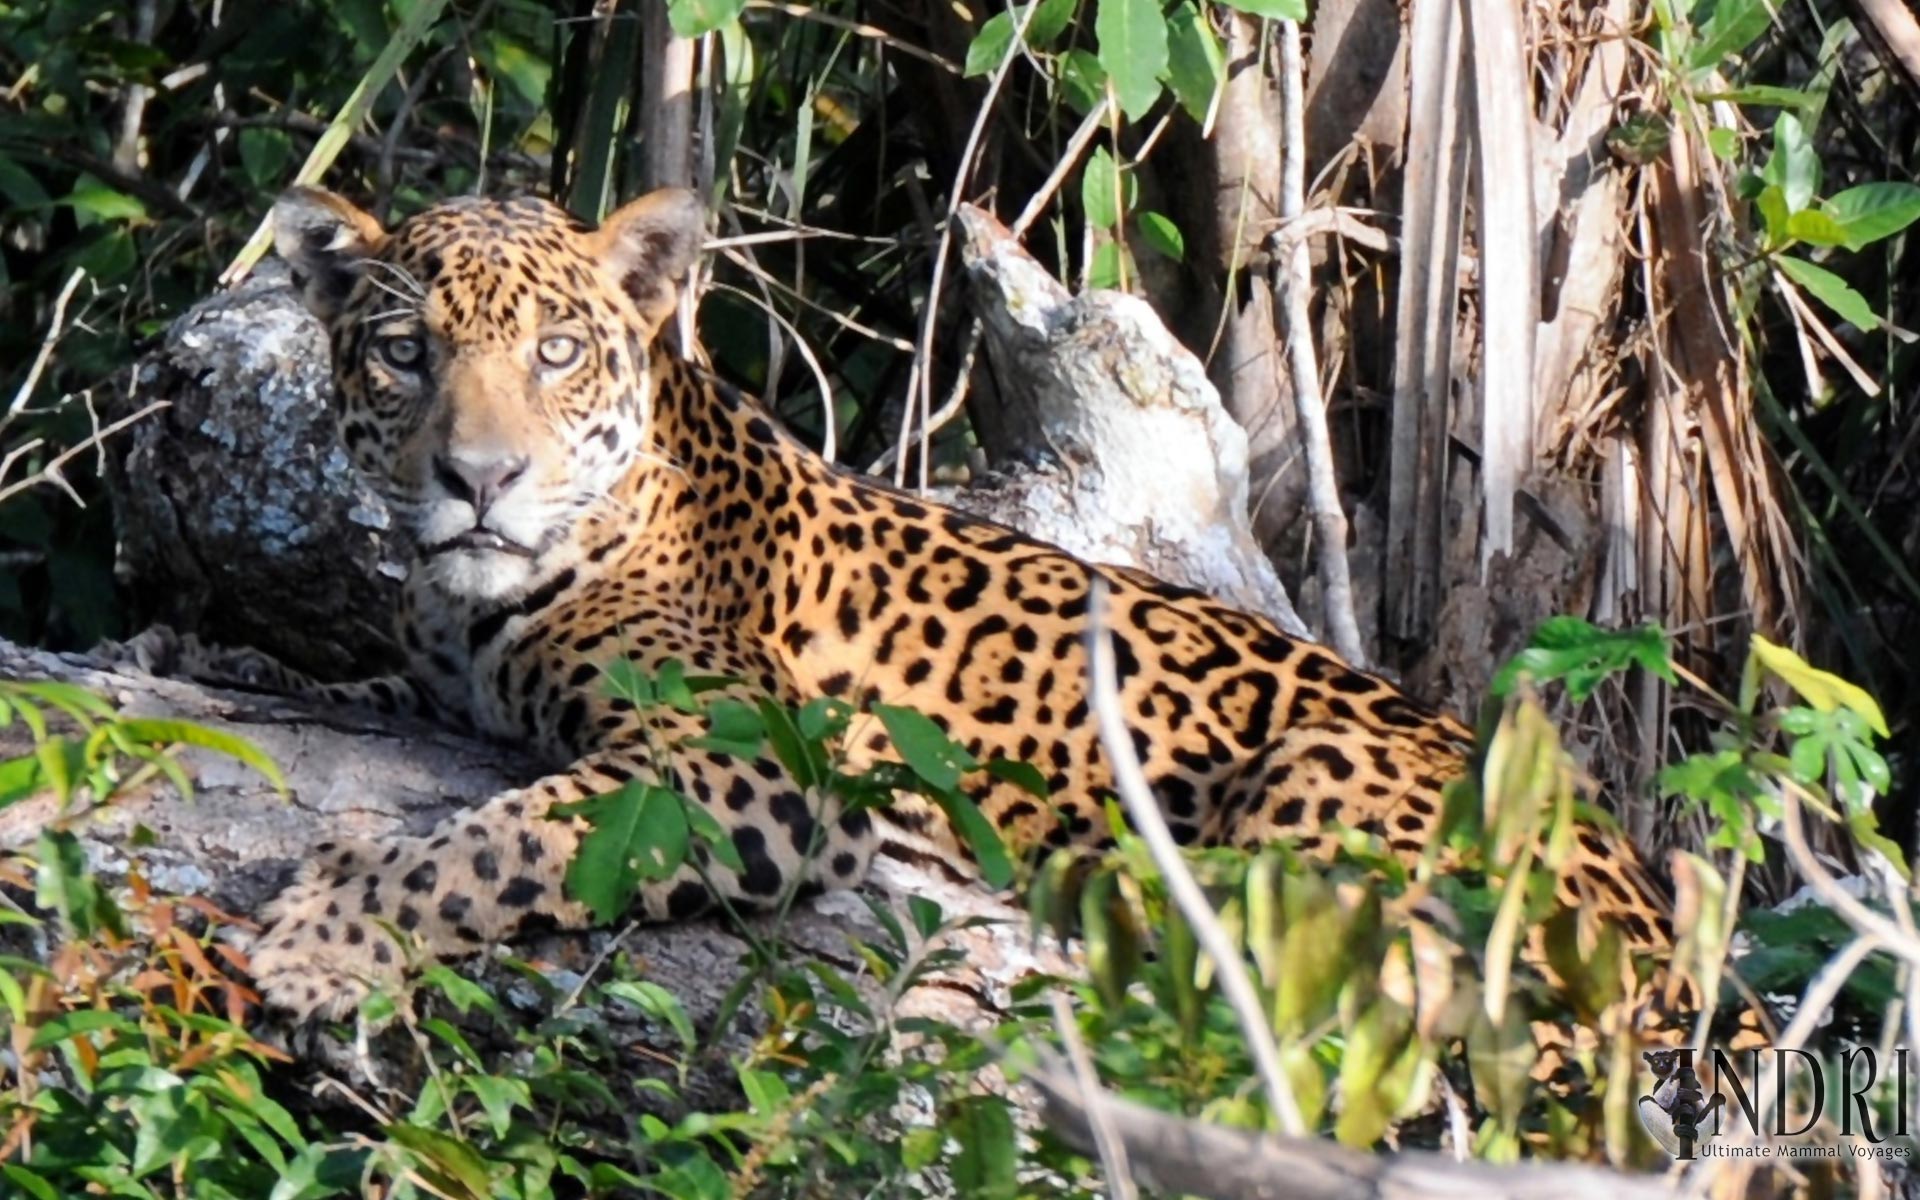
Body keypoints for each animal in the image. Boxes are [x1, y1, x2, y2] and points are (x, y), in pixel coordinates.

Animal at [220, 183, 1685, 1031]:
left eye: (558, 351)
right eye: (405, 353)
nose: (479, 478)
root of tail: (1665, 938)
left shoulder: (748, 768)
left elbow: (494, 844)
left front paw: (324, 939)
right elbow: (361, 686)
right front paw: (239, 660)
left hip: (1337, 784)